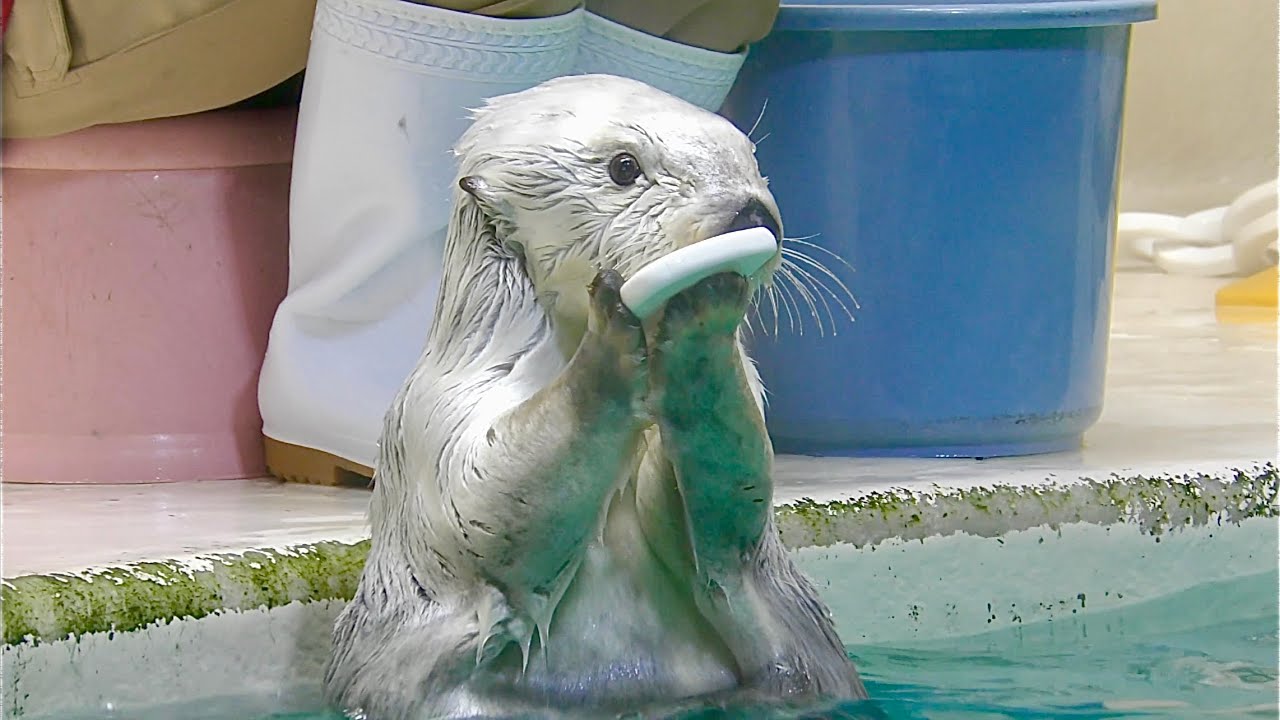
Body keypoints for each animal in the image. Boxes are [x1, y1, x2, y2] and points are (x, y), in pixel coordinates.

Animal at [325, 74, 868, 719]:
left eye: (752, 161)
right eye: (624, 167)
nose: (751, 212)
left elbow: (726, 525)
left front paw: (700, 328)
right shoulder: (437, 410)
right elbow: (478, 495)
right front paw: (613, 342)